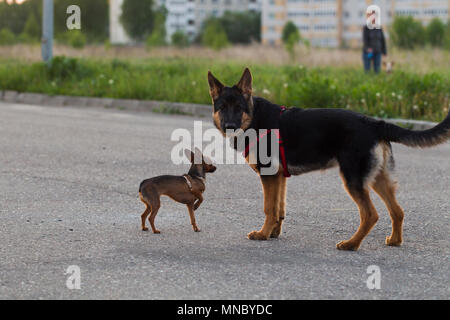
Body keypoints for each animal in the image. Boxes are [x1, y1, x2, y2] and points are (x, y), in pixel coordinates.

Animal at [208, 69, 450, 251]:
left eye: (239, 108)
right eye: (223, 108)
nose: (230, 127)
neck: (253, 117)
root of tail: (374, 123)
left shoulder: (269, 175)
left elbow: (269, 208)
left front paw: (262, 234)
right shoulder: (279, 178)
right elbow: (279, 209)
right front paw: (273, 232)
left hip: (353, 179)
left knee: (370, 214)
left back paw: (351, 244)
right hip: (377, 179)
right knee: (397, 211)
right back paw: (395, 241)